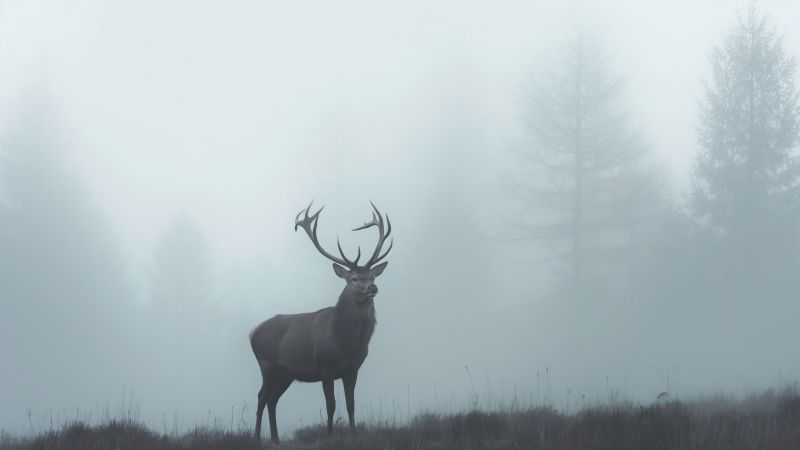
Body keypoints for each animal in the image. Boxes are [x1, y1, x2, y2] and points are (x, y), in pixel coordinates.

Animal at [249, 201, 393, 443]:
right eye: (354, 278)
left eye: (373, 276)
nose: (372, 287)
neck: (346, 342)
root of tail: (251, 333)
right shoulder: (325, 366)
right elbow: (331, 405)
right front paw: (329, 435)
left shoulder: (352, 368)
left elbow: (351, 404)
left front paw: (353, 435)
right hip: (267, 364)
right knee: (261, 397)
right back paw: (258, 438)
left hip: (285, 374)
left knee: (272, 400)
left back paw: (276, 439)